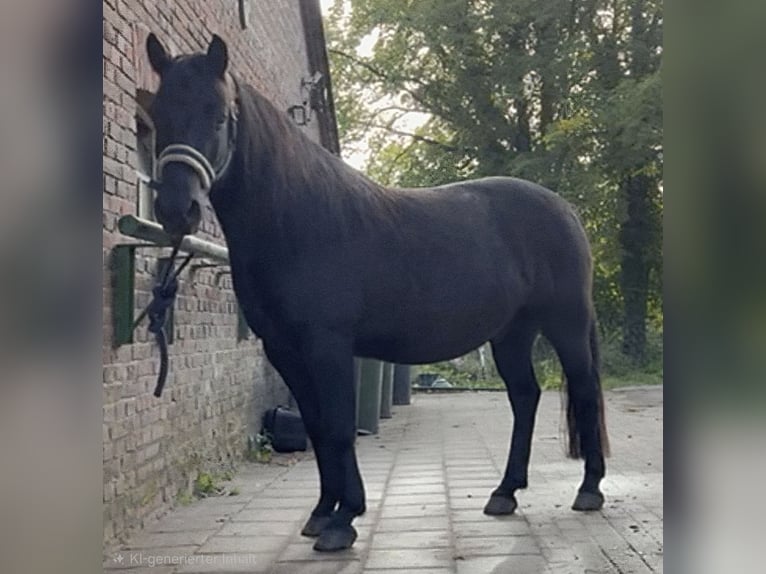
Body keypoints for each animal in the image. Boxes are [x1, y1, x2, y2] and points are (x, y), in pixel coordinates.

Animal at [144, 33, 610, 552]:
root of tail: (564, 209)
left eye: (220, 114)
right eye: (158, 113)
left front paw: (344, 520)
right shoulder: (285, 349)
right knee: (525, 397)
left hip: (565, 324)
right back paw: (504, 492)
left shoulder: (328, 345)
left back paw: (589, 490)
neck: (296, 221)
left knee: (584, 390)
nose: (176, 209)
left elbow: (339, 427)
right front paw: (322, 512)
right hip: (511, 333)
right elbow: (318, 427)